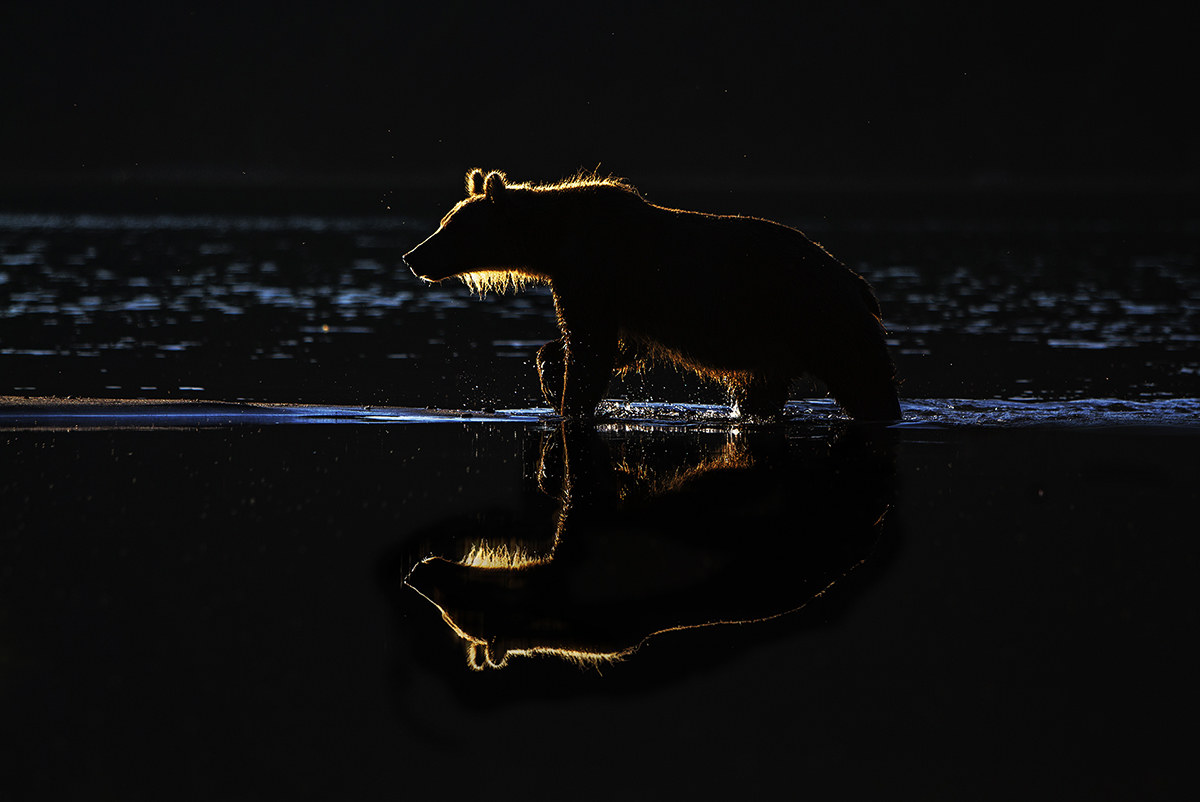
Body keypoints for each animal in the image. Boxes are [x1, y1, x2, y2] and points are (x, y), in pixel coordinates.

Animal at [403, 169, 901, 421]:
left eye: (450, 227)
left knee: (865, 379)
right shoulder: (607, 294)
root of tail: (857, 282)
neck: (554, 241)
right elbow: (614, 344)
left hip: (819, 318)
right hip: (776, 347)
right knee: (760, 393)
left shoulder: (593, 272)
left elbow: (591, 349)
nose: (413, 256)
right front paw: (549, 366)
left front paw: (566, 400)